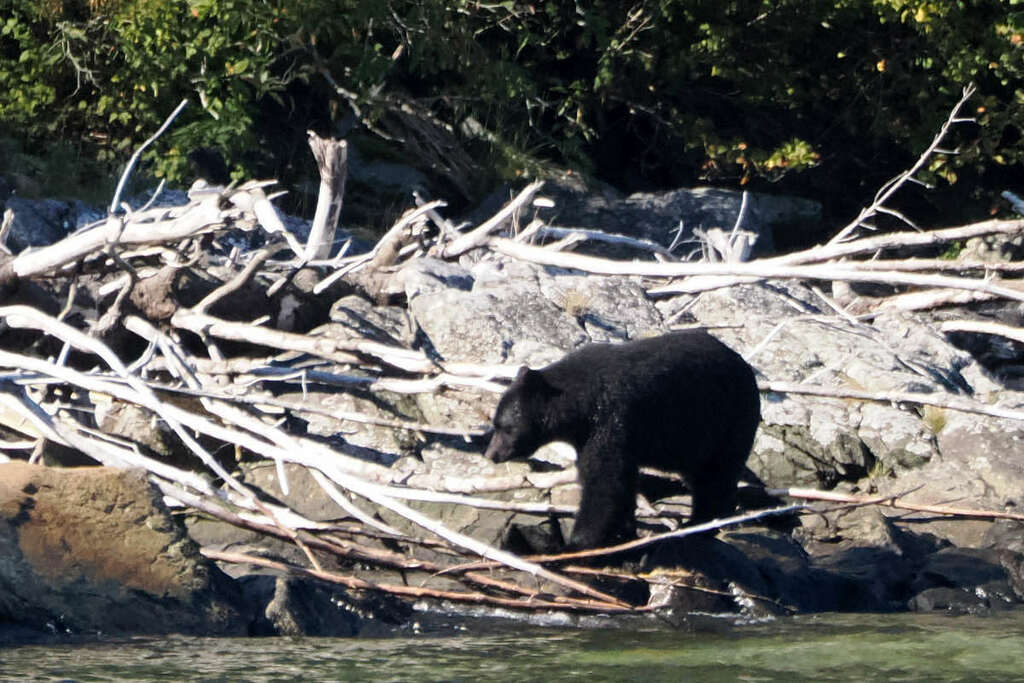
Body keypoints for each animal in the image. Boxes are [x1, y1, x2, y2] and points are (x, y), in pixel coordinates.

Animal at [484, 329, 761, 550]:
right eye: (495, 424)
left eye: (504, 427)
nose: (491, 454)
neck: (580, 404)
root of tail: (749, 371)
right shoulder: (587, 435)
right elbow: (614, 480)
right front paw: (624, 530)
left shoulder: (613, 418)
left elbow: (605, 482)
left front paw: (577, 542)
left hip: (729, 422)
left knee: (716, 477)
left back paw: (699, 525)